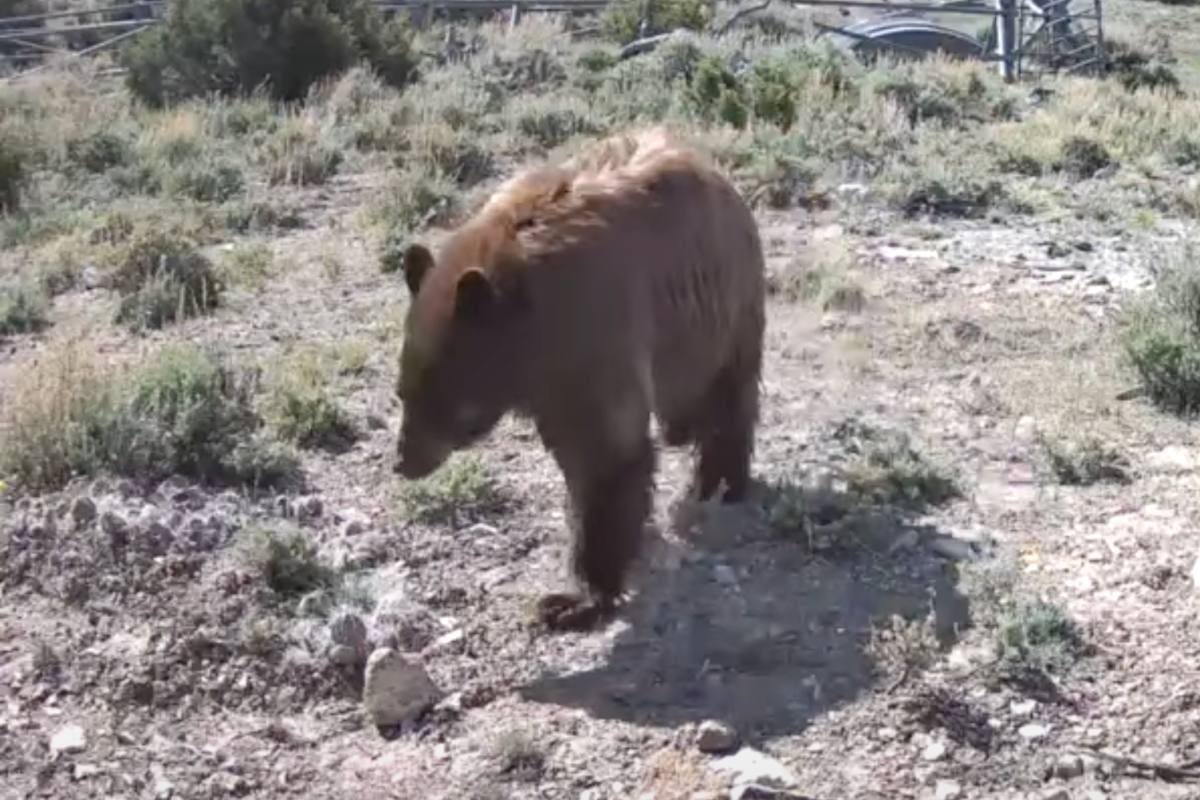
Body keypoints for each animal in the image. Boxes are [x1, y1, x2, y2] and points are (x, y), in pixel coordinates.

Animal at [392, 126, 766, 632]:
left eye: (443, 399)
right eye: (402, 392)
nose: (403, 461)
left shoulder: (590, 337)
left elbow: (606, 457)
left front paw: (575, 599)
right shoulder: (551, 378)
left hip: (722, 309)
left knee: (725, 396)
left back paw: (719, 482)